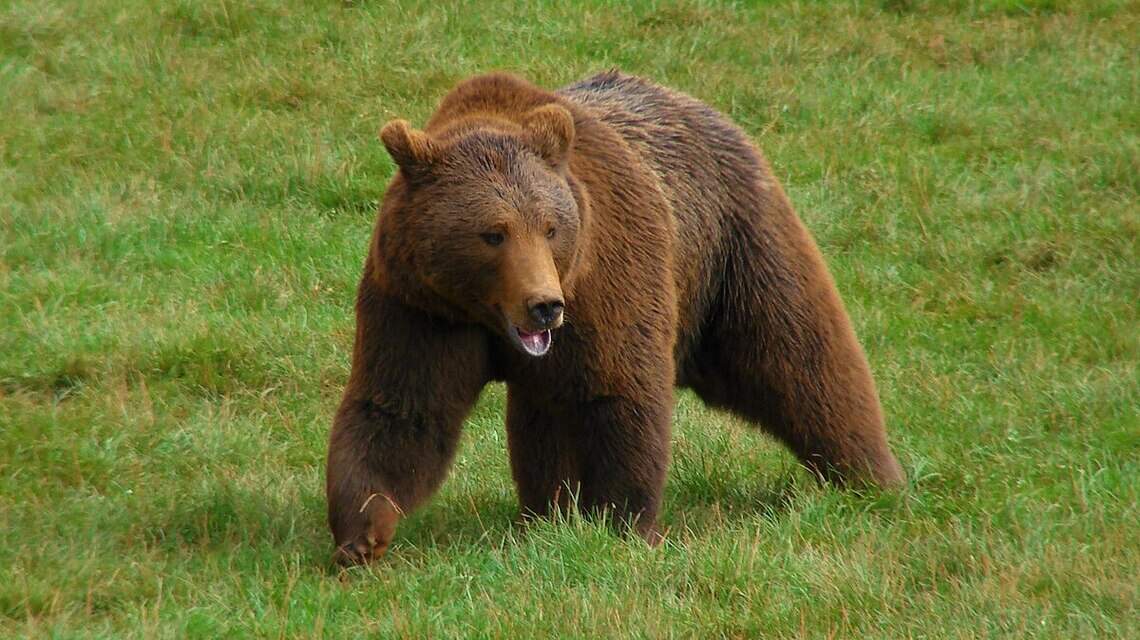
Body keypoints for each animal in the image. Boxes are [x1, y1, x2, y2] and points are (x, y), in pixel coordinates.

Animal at [326, 70, 905, 565]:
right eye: (493, 233)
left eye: (550, 226)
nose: (544, 304)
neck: (486, 313)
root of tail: (701, 106)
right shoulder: (420, 306)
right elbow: (402, 409)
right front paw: (363, 533)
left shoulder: (607, 281)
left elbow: (620, 394)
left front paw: (623, 522)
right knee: (542, 416)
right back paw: (545, 514)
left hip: (733, 250)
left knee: (799, 353)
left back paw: (872, 476)